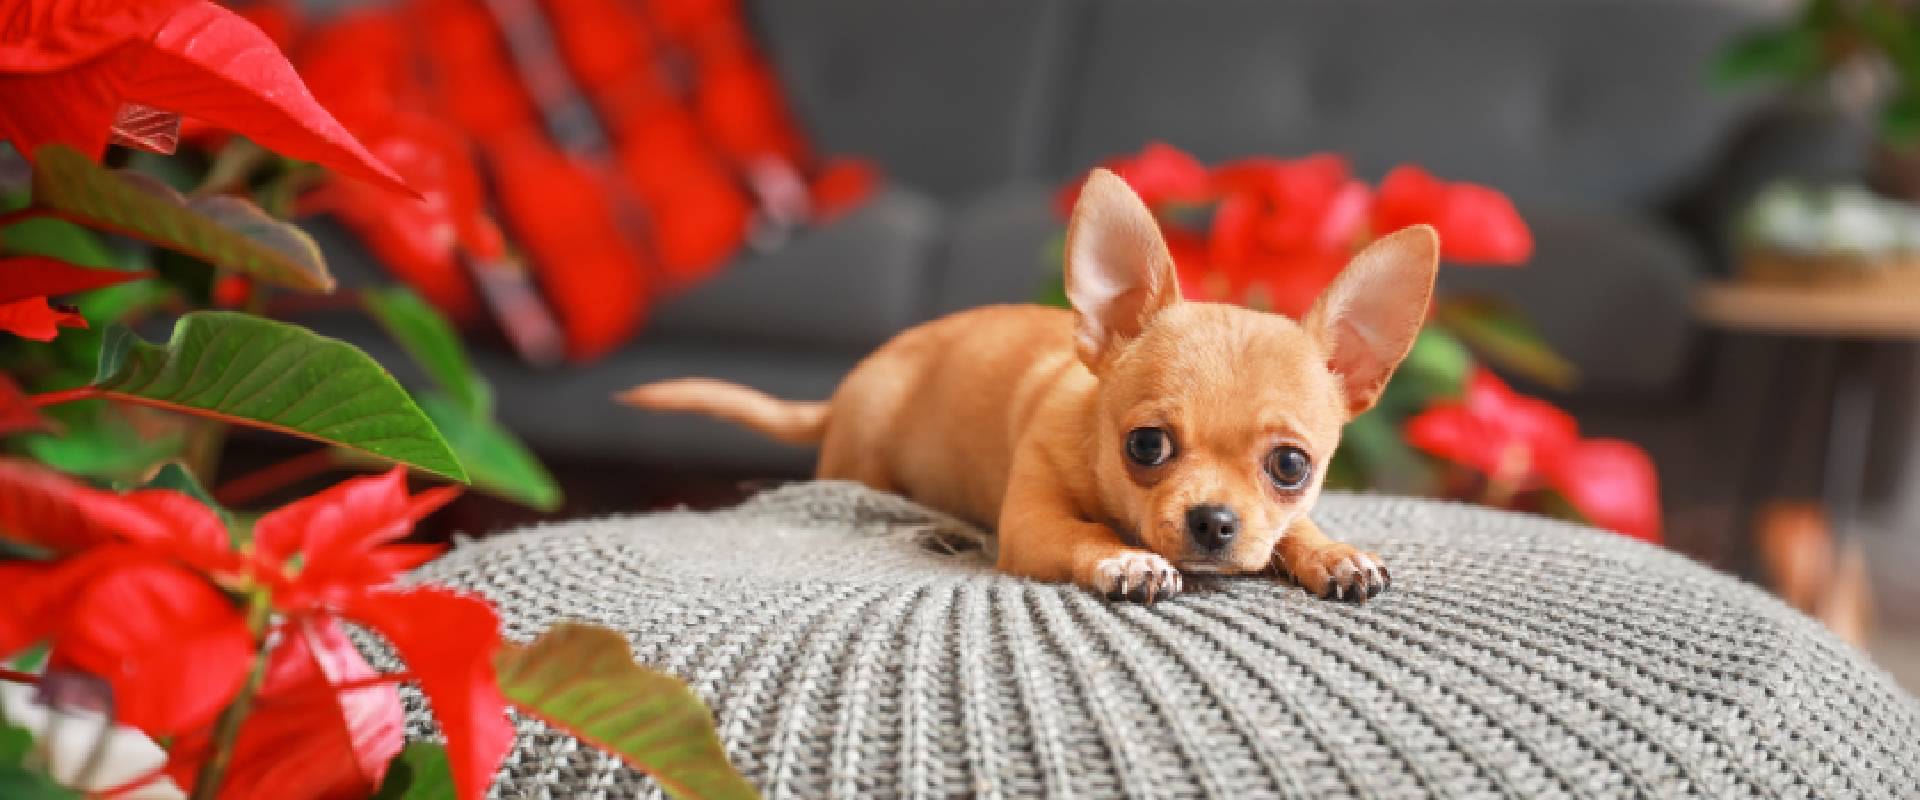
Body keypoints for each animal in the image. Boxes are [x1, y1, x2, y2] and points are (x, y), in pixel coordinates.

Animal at [622, 169, 1436, 606]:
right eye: (1146, 446)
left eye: (1292, 466)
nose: (1212, 521)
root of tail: (851, 386)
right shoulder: (1034, 526)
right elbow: (1085, 533)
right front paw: (1127, 559)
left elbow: (1293, 531)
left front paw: (1334, 553)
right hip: (866, 460)